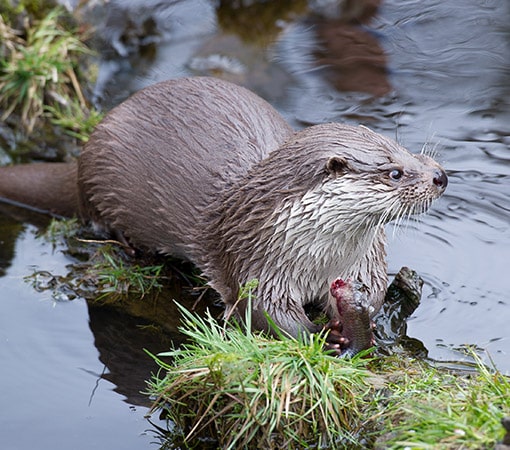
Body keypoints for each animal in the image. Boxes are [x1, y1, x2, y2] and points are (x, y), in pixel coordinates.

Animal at [0, 76, 446, 352]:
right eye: (394, 171)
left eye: (407, 150)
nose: (440, 176)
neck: (320, 258)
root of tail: (82, 157)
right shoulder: (257, 263)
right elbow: (269, 315)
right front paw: (323, 334)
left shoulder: (363, 261)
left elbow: (373, 294)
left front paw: (354, 319)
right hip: (100, 181)